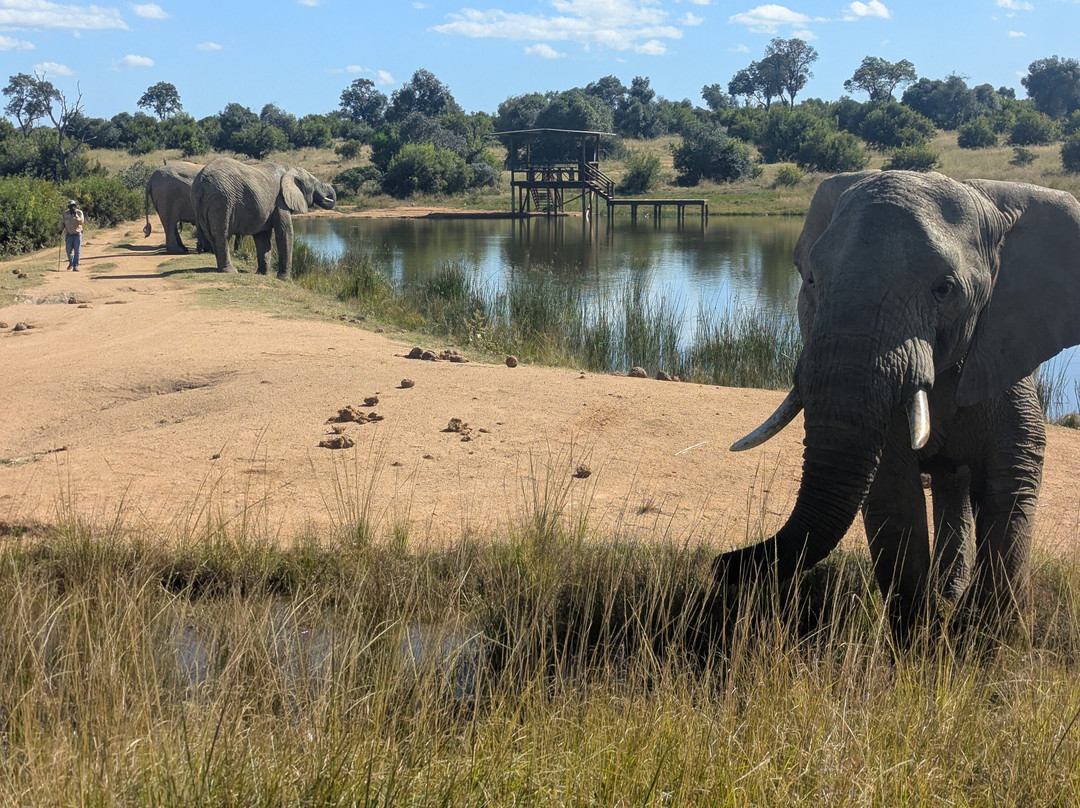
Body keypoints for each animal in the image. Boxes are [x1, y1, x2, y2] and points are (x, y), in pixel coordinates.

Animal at [191, 157, 336, 279]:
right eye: (314, 182)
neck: (289, 169)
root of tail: (200, 182)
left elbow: (263, 237)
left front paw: (263, 274)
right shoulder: (280, 202)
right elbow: (284, 232)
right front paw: (285, 279)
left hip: (203, 205)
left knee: (210, 235)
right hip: (222, 200)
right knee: (222, 235)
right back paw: (230, 271)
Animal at [714, 170, 1080, 644]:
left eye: (944, 289)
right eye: (811, 281)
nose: (722, 563)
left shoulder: (1007, 357)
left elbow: (1011, 483)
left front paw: (985, 642)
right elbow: (893, 493)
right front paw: (917, 645)